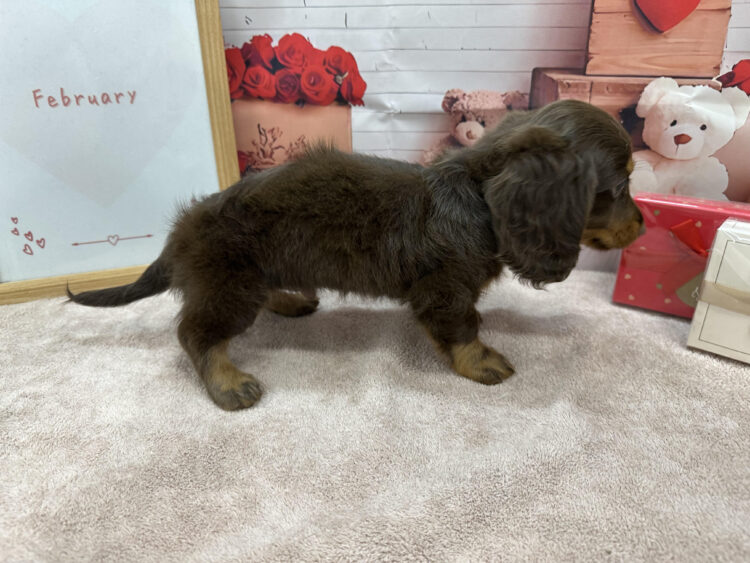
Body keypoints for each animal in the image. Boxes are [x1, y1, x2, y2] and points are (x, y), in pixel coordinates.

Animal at [68, 100, 643, 411]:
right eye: (620, 186)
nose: (642, 225)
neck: (477, 199)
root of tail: (180, 231)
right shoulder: (445, 290)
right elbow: (464, 327)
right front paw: (481, 360)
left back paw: (290, 300)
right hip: (229, 287)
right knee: (195, 335)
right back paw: (227, 382)